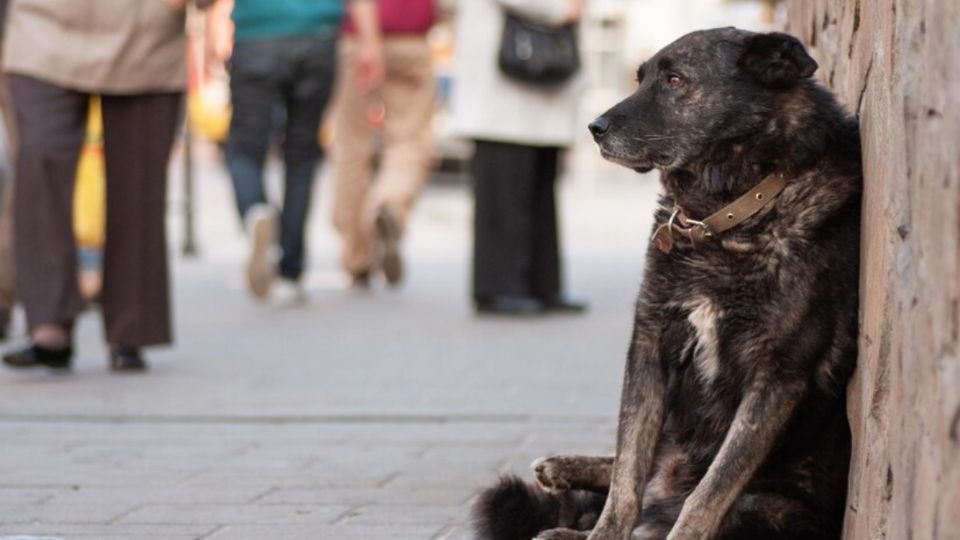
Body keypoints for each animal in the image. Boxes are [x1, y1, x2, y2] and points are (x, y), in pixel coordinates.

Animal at [474, 28, 864, 540]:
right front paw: (604, 533)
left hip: (768, 507)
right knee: (641, 468)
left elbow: (712, 488)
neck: (725, 218)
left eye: (675, 80)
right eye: (640, 78)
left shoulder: (778, 378)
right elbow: (628, 470)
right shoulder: (649, 345)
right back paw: (563, 481)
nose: (595, 127)